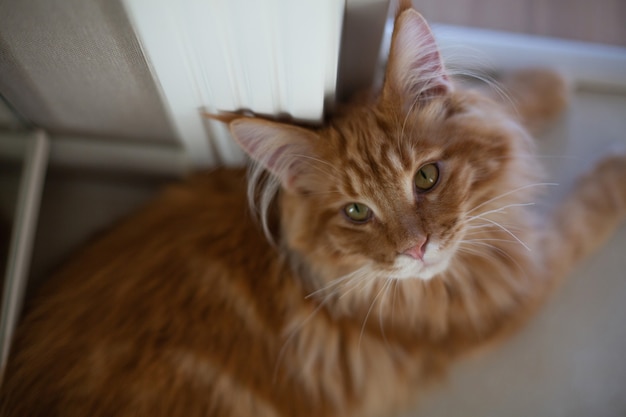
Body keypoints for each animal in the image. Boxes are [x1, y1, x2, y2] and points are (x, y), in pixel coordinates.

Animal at [1, 3, 624, 416]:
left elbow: (503, 101)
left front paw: (546, 78)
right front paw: (616, 166)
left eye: (426, 177)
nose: (417, 248)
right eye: (356, 213)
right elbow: (580, 214)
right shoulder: (523, 283)